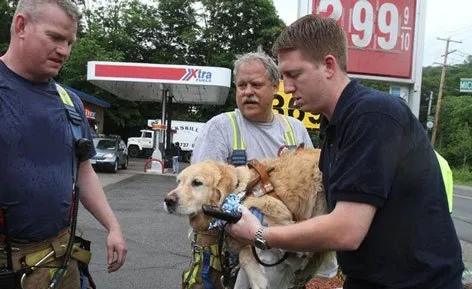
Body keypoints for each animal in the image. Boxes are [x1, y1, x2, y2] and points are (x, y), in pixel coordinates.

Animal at [164, 148, 334, 288]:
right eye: (178, 182)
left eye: (197, 182)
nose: (168, 200)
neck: (240, 190)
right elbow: (245, 252)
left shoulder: (274, 216)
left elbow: (252, 247)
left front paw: (258, 279)